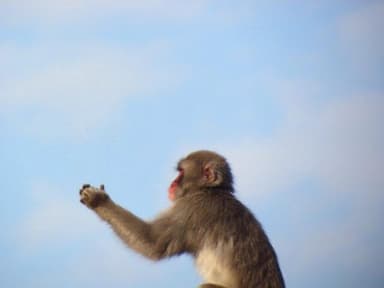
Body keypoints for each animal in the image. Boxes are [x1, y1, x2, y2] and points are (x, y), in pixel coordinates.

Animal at [79, 150, 284, 286]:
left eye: (181, 172)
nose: (172, 183)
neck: (209, 191)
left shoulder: (190, 209)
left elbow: (153, 243)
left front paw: (100, 201)